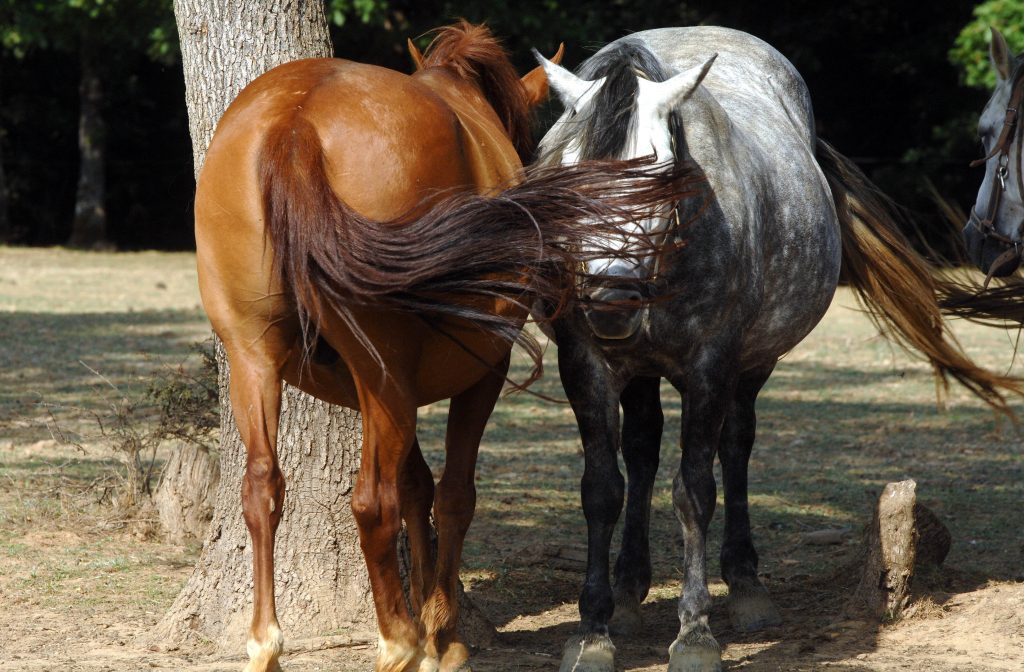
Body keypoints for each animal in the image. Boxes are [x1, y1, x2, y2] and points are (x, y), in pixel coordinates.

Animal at [195, 21, 684, 672]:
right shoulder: (479, 373)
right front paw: (442, 637)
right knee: (371, 503)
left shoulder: (380, 389)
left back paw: (267, 642)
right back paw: (399, 639)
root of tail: (296, 122)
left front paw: (432, 620)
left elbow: (417, 488)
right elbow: (452, 495)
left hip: (260, 357)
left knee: (262, 487)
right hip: (386, 370)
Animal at [536, 26, 1015, 672]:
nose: (610, 300)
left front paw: (694, 634)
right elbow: (601, 490)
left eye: (660, 177)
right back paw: (631, 591)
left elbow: (694, 492)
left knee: (734, 448)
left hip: (751, 364)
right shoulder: (584, 360)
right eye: (570, 176)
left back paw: (745, 588)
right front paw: (592, 631)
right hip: (639, 371)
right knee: (641, 452)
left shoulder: (710, 365)